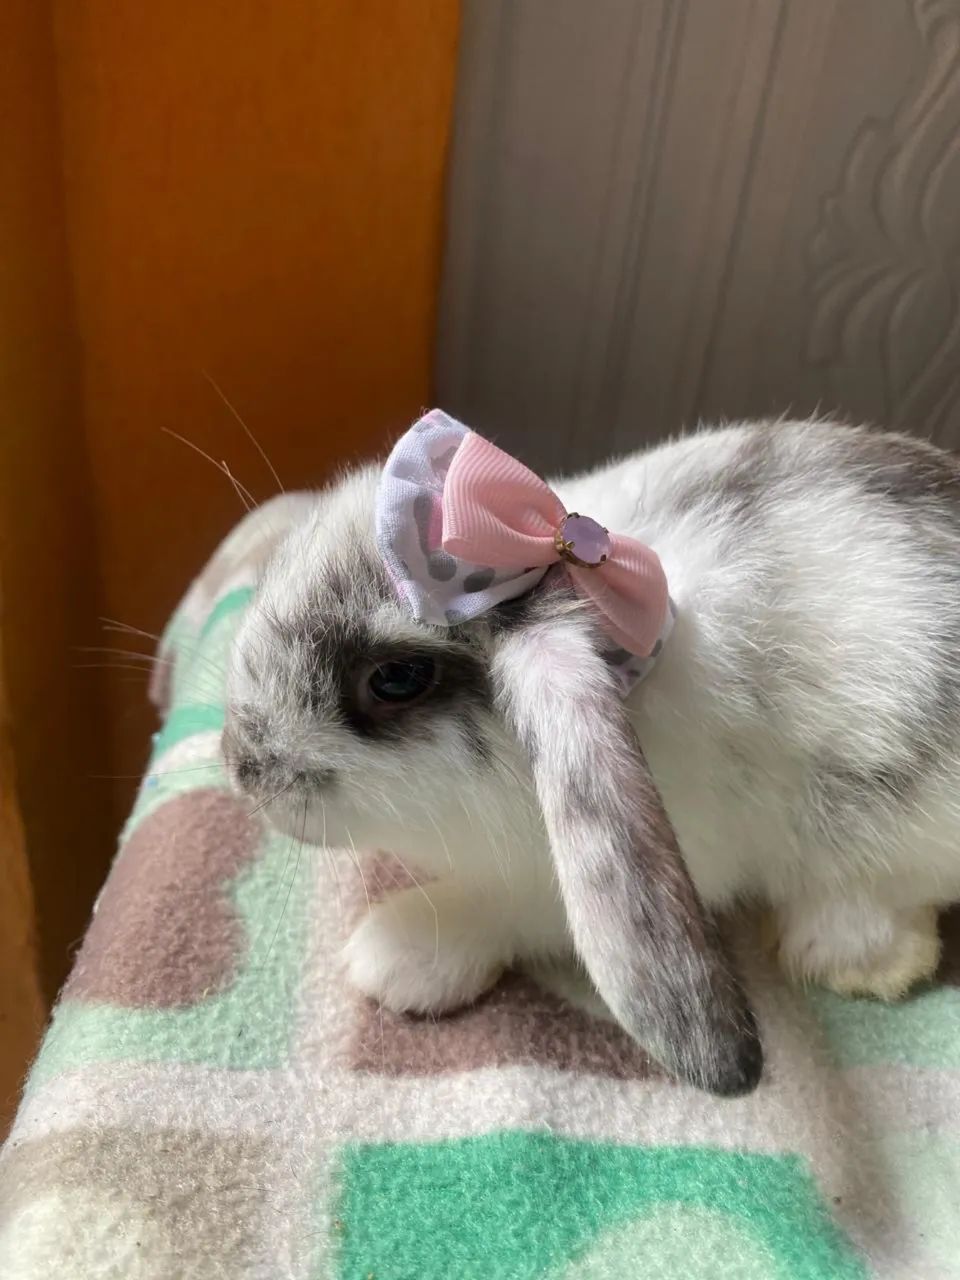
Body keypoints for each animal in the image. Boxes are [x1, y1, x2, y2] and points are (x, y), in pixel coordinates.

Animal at [222, 410, 960, 1095]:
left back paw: (852, 955)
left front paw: (393, 955)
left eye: (397, 678)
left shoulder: (574, 882)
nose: (242, 768)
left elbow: (501, 908)